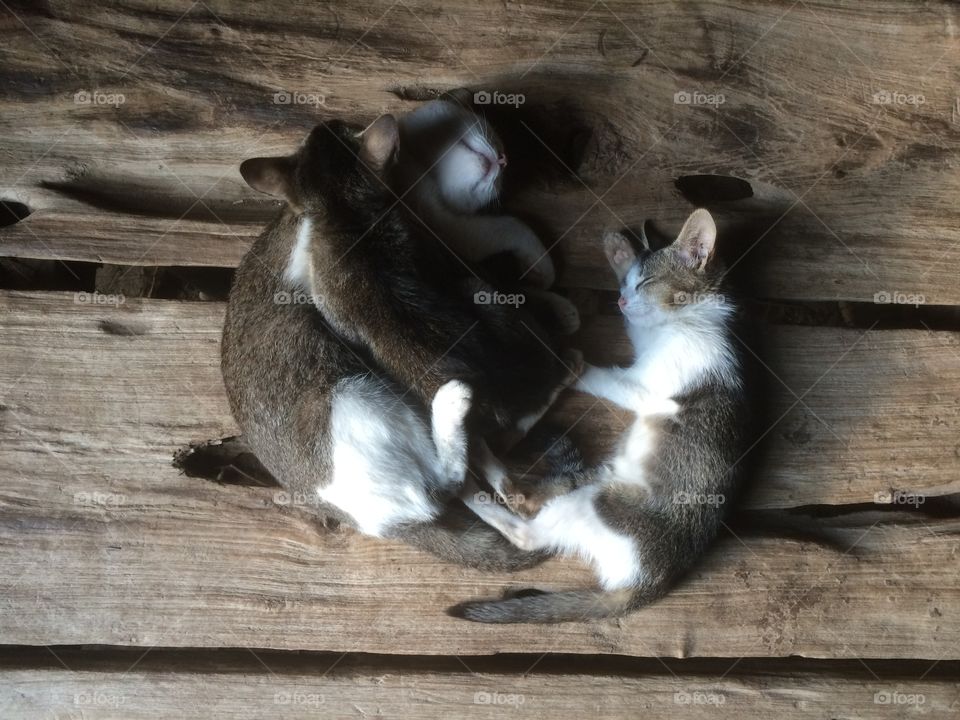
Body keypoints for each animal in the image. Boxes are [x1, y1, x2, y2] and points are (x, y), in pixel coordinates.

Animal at [221, 118, 552, 572]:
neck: (342, 215)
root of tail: (387, 522)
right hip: (361, 394)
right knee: (446, 483)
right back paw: (455, 406)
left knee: (475, 492)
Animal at [454, 210, 752, 624]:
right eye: (629, 283)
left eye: (646, 282)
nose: (622, 298)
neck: (693, 318)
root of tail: (649, 586)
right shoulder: (643, 336)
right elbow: (633, 324)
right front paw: (620, 250)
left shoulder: (650, 391)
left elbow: (596, 373)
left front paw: (564, 361)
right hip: (590, 486)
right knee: (526, 516)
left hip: (597, 501)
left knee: (522, 511)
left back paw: (465, 467)